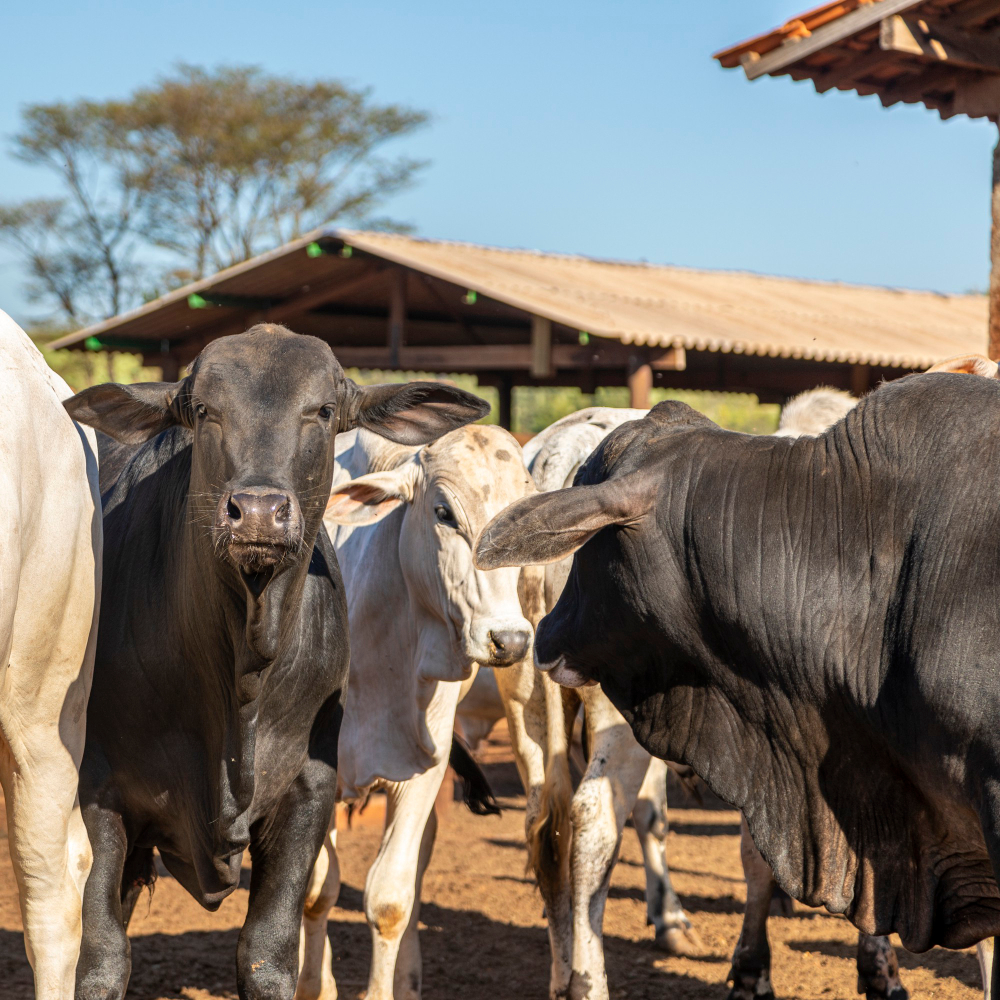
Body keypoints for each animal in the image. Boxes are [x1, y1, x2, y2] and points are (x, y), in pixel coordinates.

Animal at [62, 324, 488, 1000]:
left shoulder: (309, 789)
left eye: (323, 410)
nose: (258, 511)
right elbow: (100, 956)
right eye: (204, 409)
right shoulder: (101, 792)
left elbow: (267, 954)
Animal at [295, 423, 534, 1000]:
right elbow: (316, 889)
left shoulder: (425, 769)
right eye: (444, 512)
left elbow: (390, 899)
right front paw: (314, 983)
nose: (511, 639)